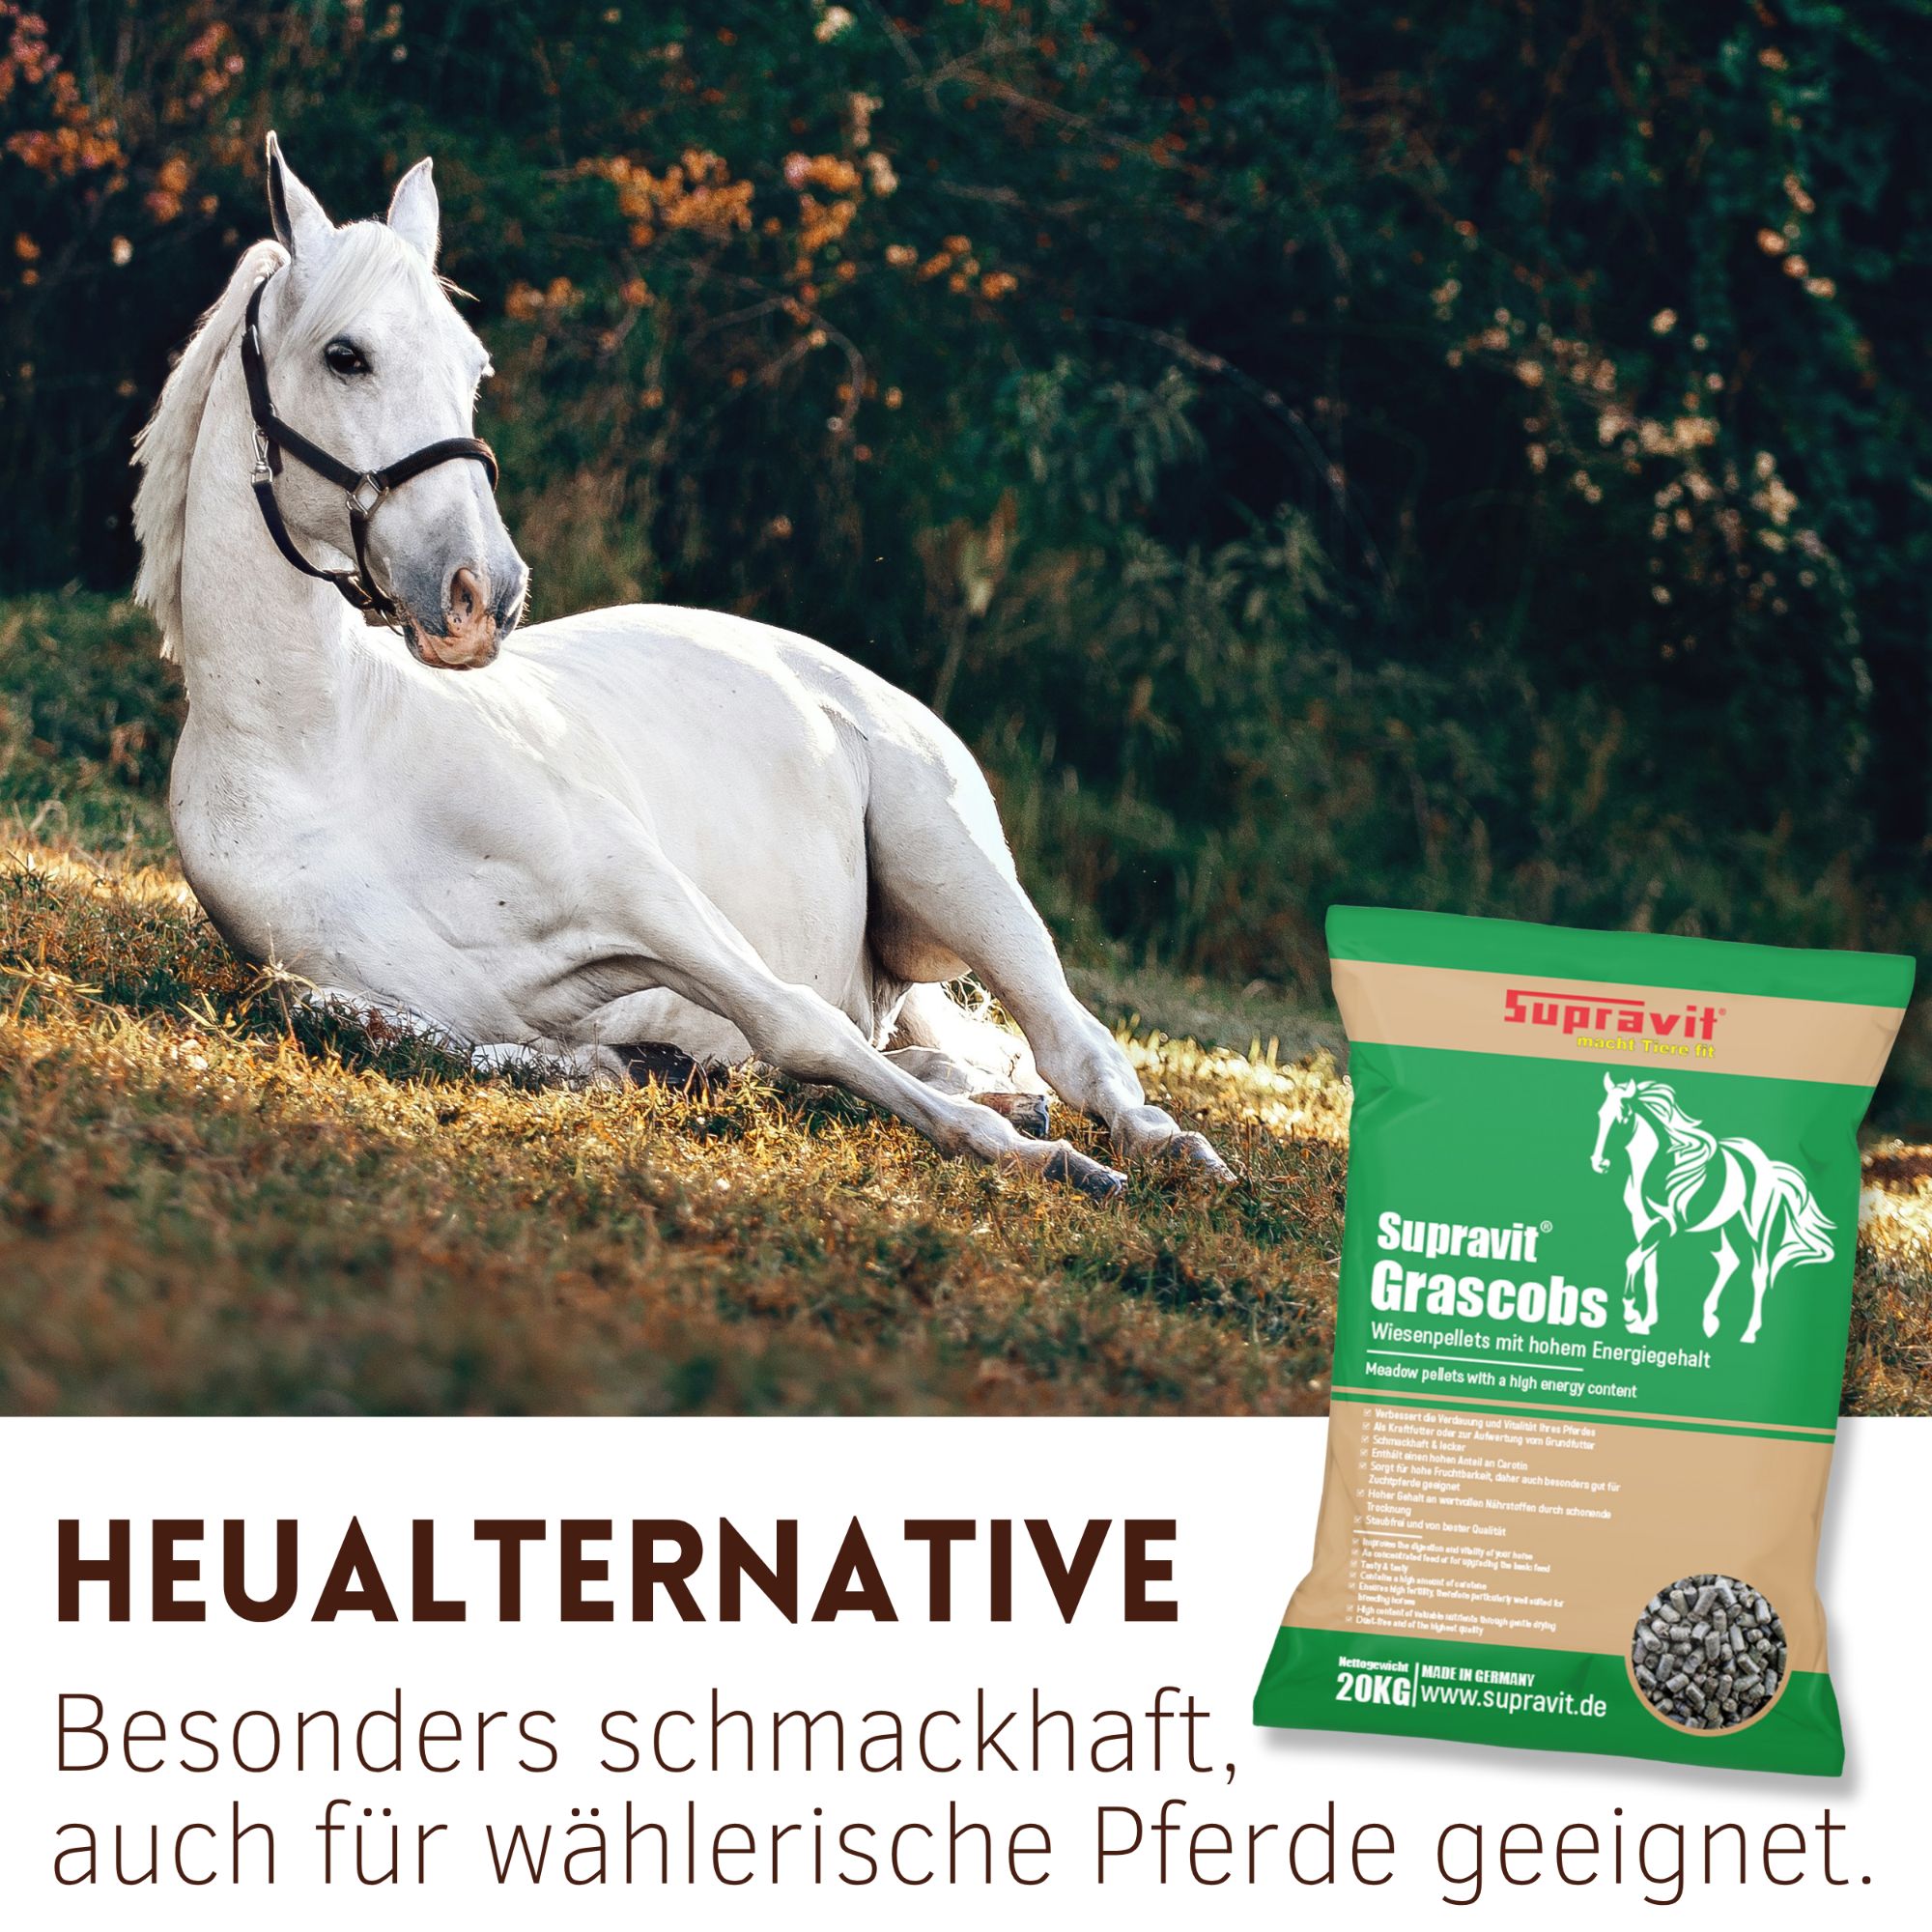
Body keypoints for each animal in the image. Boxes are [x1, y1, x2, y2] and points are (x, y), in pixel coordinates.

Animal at [129, 136, 1231, 1200]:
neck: (326, 750)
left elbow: (800, 1022)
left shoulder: (646, 898)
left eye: (472, 367)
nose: (482, 593)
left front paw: (1036, 1161)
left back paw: (1158, 1147)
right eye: (345, 356)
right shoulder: (386, 993)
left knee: (1073, 1047)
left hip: (963, 881)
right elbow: (401, 1028)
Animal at [1588, 1072, 1834, 1343]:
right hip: (1722, 1226)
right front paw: (1645, 1322)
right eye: (1600, 1114)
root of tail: (1770, 1168)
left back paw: (1748, 1333)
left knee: (1759, 1273)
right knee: (1729, 1260)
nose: (1599, 1163)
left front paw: (1631, 1314)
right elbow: (1649, 1273)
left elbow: (1632, 1260)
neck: (1653, 1169)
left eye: (1622, 1117)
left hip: (1754, 1229)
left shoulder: (1666, 1225)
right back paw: (1710, 1321)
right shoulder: (1641, 1223)